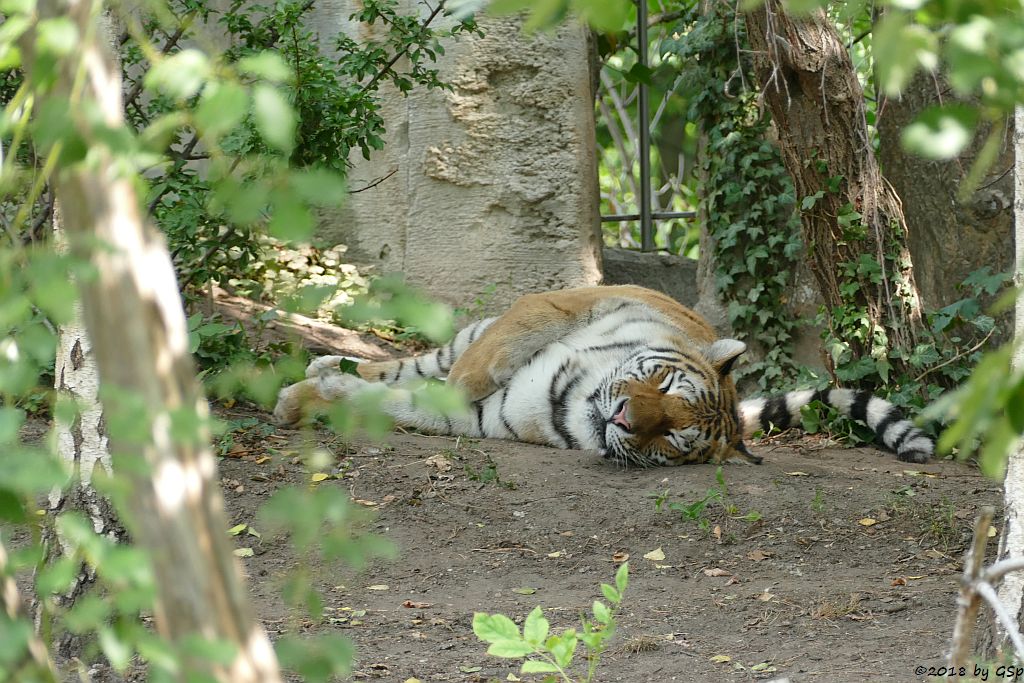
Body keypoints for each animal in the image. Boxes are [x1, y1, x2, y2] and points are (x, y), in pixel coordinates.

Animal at [274, 286, 937, 466]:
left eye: (673, 437)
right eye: (665, 387)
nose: (622, 416)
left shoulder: (483, 419)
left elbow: (405, 406)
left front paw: (310, 399)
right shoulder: (556, 306)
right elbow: (465, 374)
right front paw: (306, 393)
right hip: (471, 332)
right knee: (412, 361)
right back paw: (326, 361)